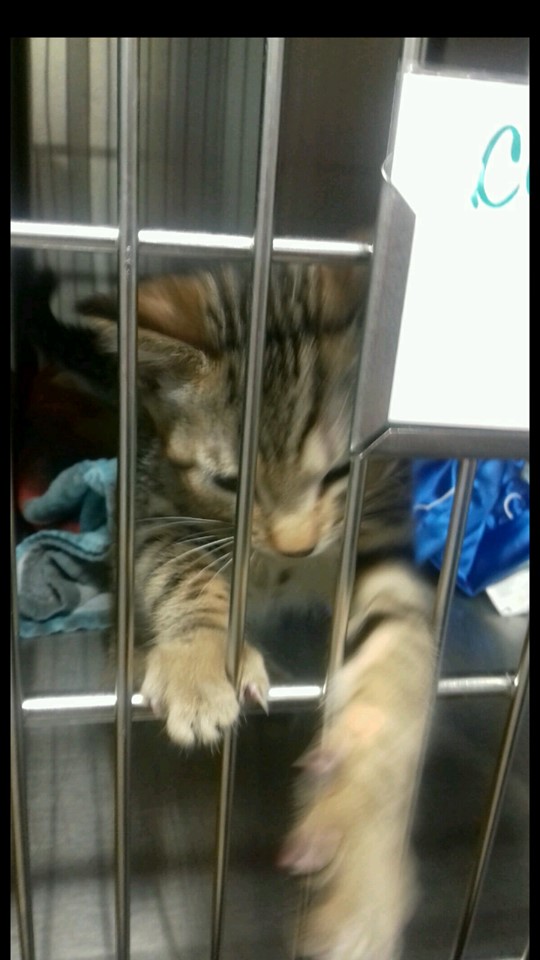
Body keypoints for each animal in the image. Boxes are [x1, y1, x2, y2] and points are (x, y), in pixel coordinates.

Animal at [22, 261, 435, 959]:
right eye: (229, 484)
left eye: (340, 472)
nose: (296, 545)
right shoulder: (155, 513)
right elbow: (181, 573)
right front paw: (202, 664)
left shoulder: (382, 537)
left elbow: (401, 650)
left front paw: (359, 869)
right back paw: (133, 657)